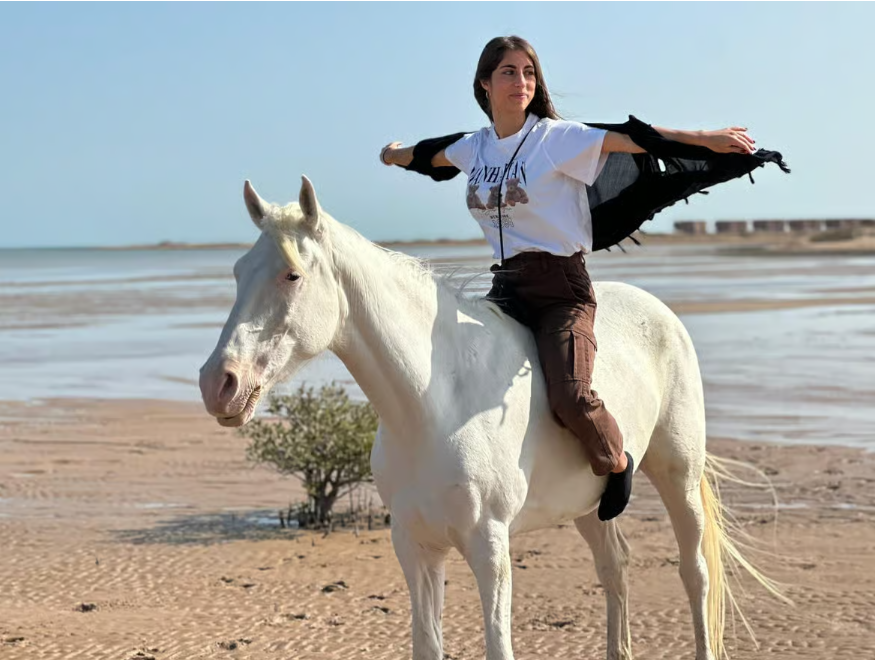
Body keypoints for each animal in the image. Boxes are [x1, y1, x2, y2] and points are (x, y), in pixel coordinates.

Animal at [199, 177, 781, 660]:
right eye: (237, 272)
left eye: (292, 274)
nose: (217, 383)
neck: (434, 406)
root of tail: (662, 314)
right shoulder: (416, 549)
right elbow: (427, 646)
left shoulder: (490, 550)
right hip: (589, 505)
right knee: (615, 568)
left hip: (678, 476)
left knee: (695, 575)